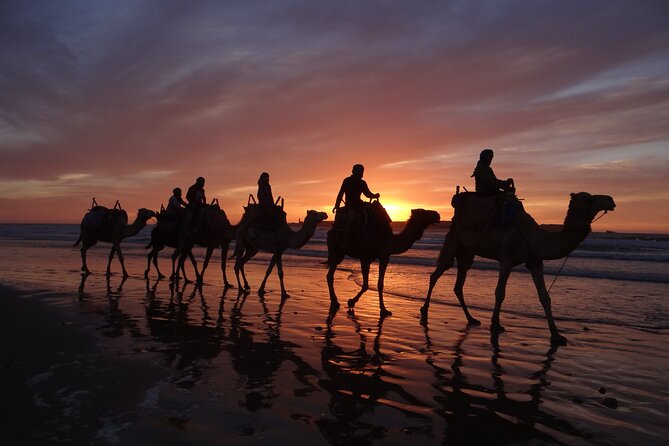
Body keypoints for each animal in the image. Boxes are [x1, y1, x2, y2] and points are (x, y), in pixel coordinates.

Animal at [420, 192, 612, 344]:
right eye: (588, 198)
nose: (610, 200)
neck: (535, 236)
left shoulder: (535, 261)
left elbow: (545, 297)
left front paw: (556, 335)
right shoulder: (507, 259)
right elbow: (500, 292)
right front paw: (496, 324)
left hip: (467, 251)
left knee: (458, 283)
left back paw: (471, 318)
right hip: (455, 240)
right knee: (439, 272)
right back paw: (424, 310)